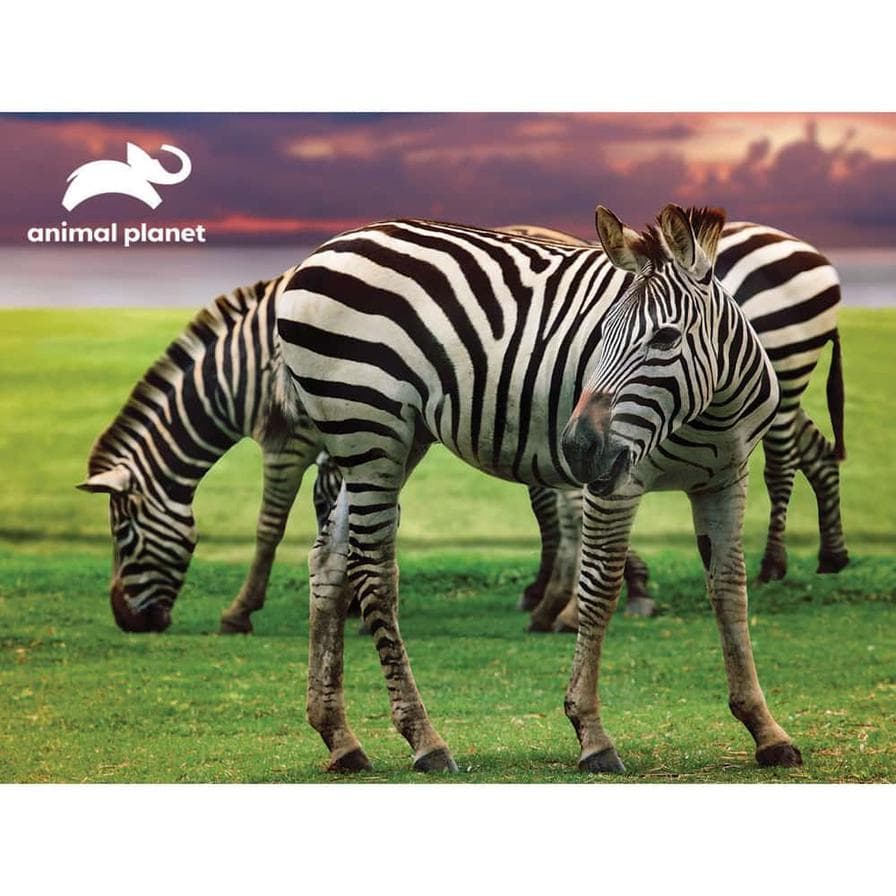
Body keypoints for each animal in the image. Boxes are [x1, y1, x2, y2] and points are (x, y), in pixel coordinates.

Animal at [275, 203, 802, 774]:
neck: (710, 409)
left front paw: (765, 729)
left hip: (388, 440)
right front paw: (592, 734)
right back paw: (425, 740)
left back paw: (340, 737)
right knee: (373, 571)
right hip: (370, 428)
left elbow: (729, 593)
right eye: (601, 333)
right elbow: (600, 588)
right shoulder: (616, 483)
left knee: (330, 560)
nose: (576, 448)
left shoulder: (726, 480)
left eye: (665, 338)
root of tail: (320, 252)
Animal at [501, 223, 847, 629]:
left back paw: (772, 566)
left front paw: (557, 592)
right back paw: (832, 556)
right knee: (817, 450)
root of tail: (807, 249)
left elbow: (552, 502)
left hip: (784, 362)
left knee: (781, 464)